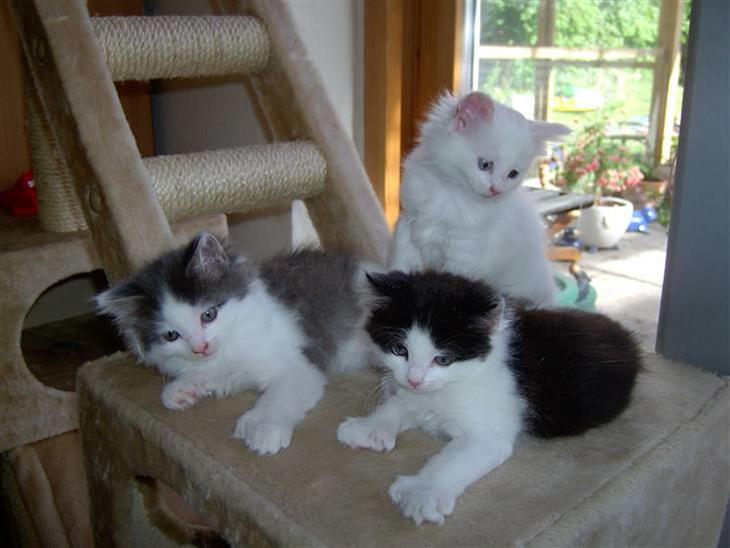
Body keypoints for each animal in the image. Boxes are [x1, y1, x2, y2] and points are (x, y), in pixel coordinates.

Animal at [96, 232, 374, 455]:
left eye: (208, 315)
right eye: (171, 335)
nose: (201, 347)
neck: (231, 343)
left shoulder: (301, 366)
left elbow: (279, 396)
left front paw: (264, 427)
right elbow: (205, 374)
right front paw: (181, 390)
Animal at [338, 270, 641, 525]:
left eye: (443, 359)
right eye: (400, 350)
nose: (414, 379)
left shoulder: (489, 431)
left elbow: (451, 461)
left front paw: (422, 493)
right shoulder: (415, 392)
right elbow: (399, 404)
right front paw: (368, 428)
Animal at [390, 91, 571, 307]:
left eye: (513, 174)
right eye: (485, 164)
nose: (496, 190)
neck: (451, 192)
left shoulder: (465, 250)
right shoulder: (407, 223)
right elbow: (398, 263)